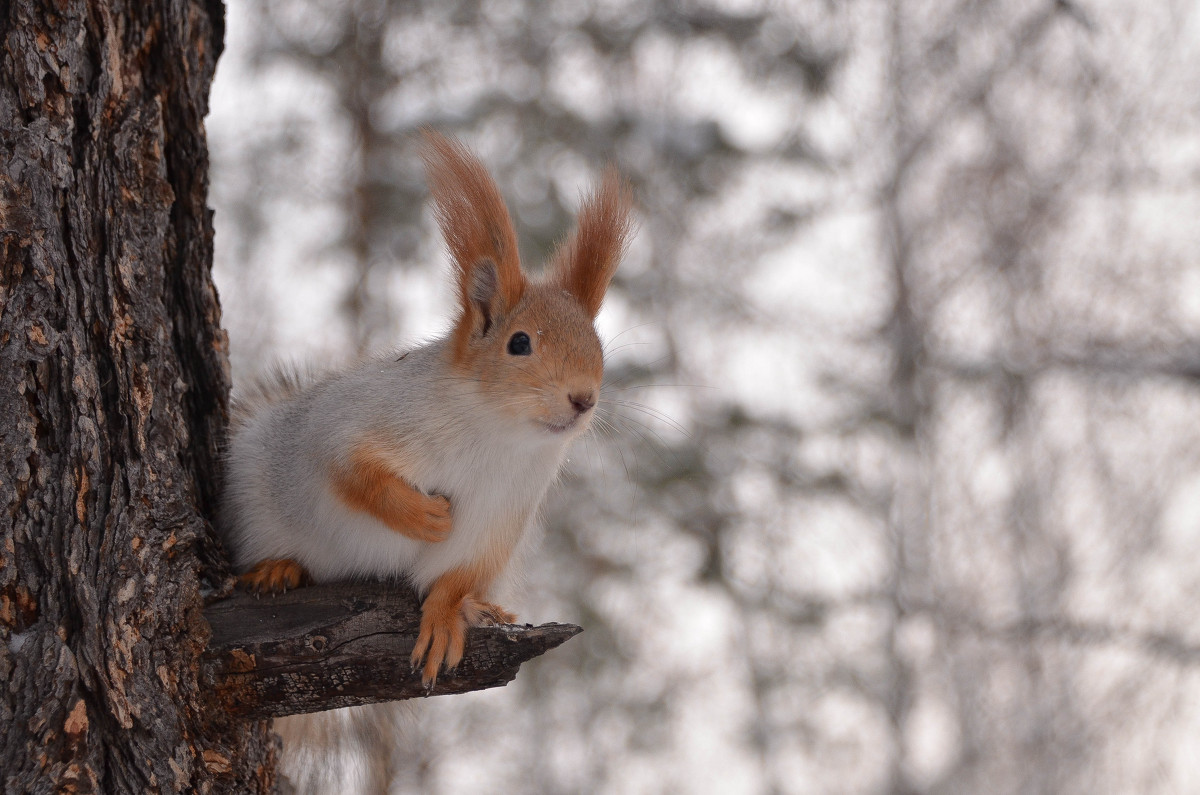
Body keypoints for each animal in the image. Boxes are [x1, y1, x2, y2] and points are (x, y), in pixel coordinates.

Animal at [219, 130, 633, 686]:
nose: (583, 398)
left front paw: (443, 617)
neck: (498, 435)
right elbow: (352, 471)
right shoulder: (352, 419)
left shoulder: (498, 522)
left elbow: (457, 579)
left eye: (598, 346)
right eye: (519, 343)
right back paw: (277, 566)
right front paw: (424, 517)